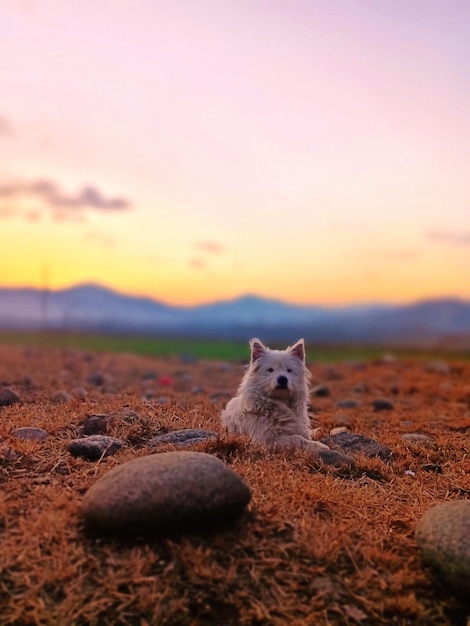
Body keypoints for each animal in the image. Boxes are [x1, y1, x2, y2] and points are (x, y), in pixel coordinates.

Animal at [222, 336, 354, 464]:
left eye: (289, 370)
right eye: (270, 370)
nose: (282, 379)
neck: (278, 404)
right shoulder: (265, 441)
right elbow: (298, 438)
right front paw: (319, 446)